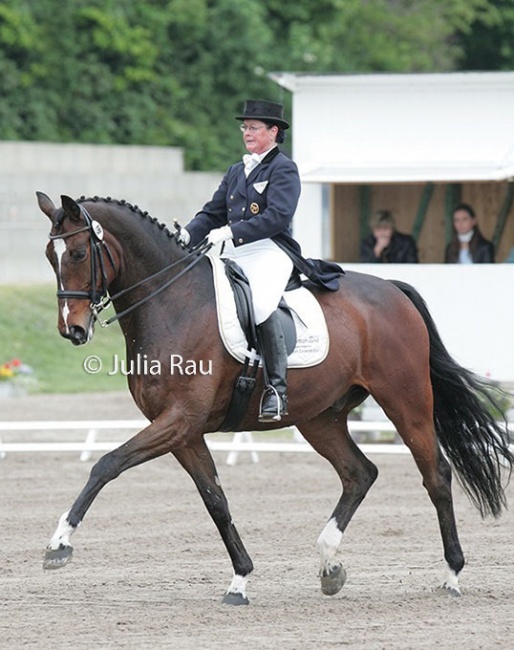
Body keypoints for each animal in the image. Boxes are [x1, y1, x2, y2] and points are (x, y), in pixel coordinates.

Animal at [38, 191, 510, 604]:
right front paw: (240, 581)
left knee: (436, 475)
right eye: (50, 256)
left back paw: (451, 576)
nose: (72, 330)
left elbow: (106, 463)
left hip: (406, 402)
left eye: (78, 254)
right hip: (319, 417)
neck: (173, 303)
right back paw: (329, 565)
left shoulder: (179, 420)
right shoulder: (184, 431)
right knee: (359, 473)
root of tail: (394, 290)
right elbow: (215, 499)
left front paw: (59, 544)